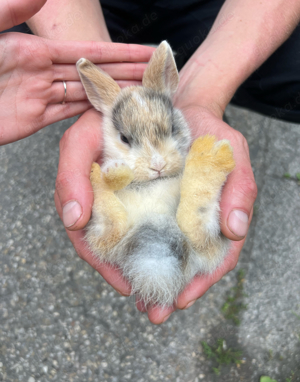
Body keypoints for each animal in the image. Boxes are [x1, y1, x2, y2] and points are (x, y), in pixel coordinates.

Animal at [75, 40, 234, 306]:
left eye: (172, 128)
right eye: (124, 138)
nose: (158, 165)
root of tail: (156, 267)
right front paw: (116, 168)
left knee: (196, 227)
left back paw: (209, 159)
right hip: (105, 235)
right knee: (114, 225)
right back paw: (111, 175)